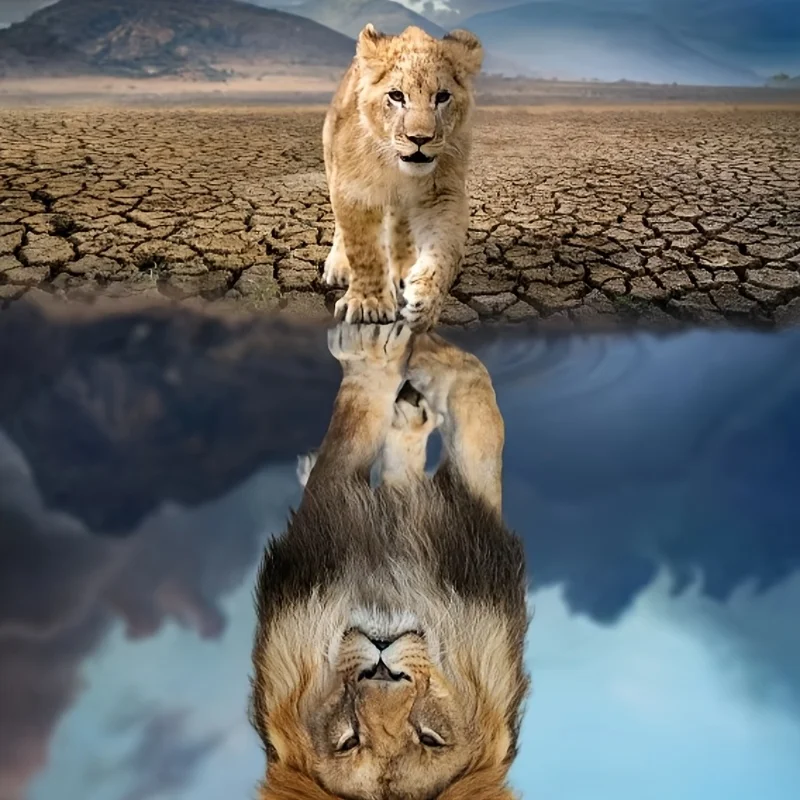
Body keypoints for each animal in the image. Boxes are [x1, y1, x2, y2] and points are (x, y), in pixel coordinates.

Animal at [250, 322, 529, 800]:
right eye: (349, 739)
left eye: (429, 737)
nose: (381, 666)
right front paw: (397, 356)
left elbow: (476, 413)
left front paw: (398, 357)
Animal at [322, 24, 483, 331]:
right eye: (396, 96)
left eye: (442, 96)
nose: (419, 139)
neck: (397, 168)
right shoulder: (354, 190)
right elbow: (363, 249)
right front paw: (368, 304)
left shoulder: (442, 194)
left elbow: (444, 251)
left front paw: (424, 302)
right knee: (341, 228)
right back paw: (338, 267)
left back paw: (404, 269)